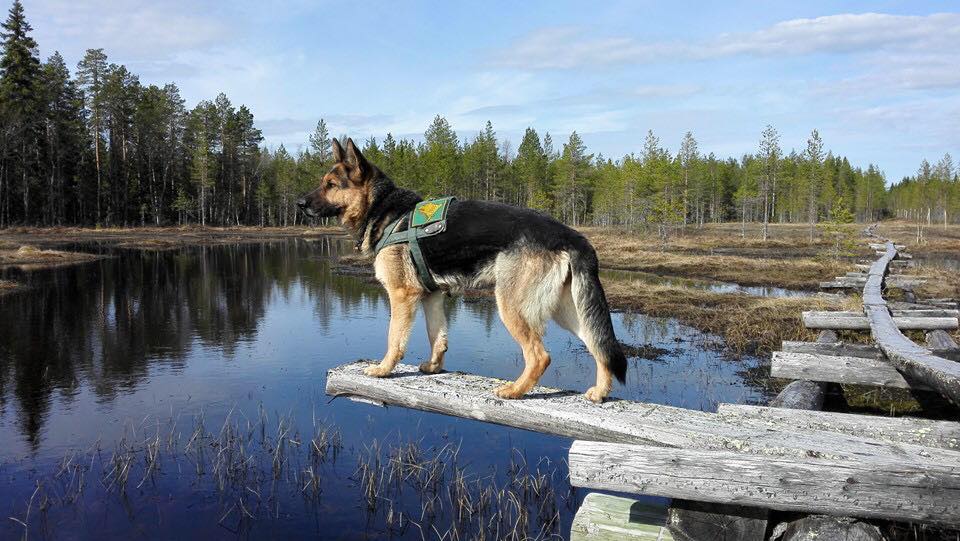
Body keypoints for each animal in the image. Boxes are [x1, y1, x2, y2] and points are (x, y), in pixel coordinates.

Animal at [302, 139, 632, 400]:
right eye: (323, 183)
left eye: (331, 185)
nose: (299, 203)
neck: (384, 209)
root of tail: (571, 235)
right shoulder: (432, 297)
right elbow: (437, 336)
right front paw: (433, 367)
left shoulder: (401, 295)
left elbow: (394, 339)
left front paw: (384, 369)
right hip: (568, 311)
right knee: (600, 346)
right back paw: (600, 392)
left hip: (512, 306)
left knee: (540, 356)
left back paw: (515, 391)